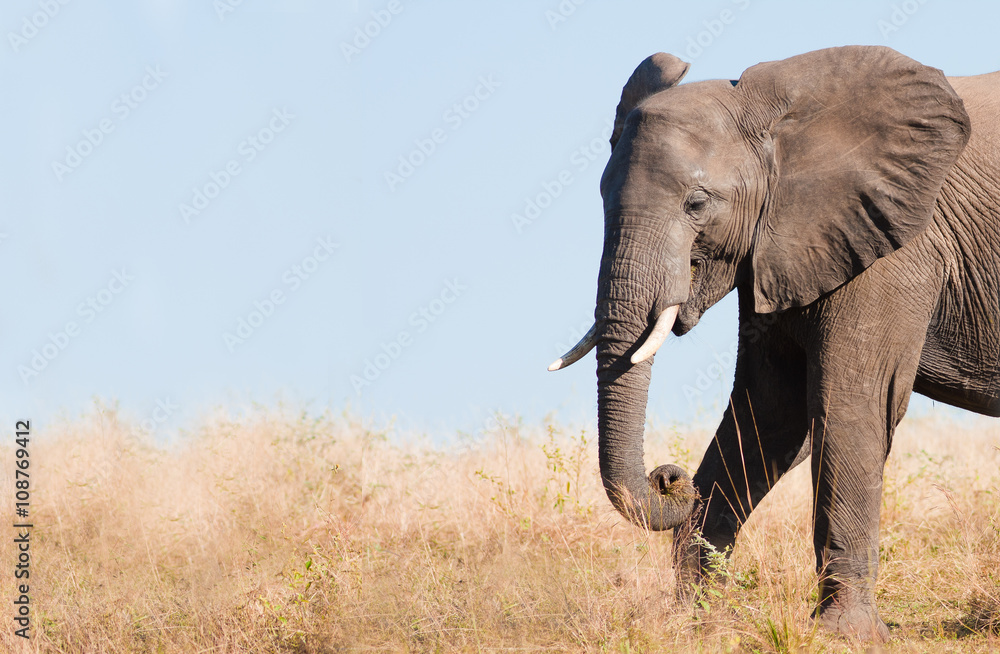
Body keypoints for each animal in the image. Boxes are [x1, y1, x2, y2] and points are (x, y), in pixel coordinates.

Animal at [548, 45, 999, 641]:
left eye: (697, 204)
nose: (668, 477)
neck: (780, 117)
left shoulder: (897, 244)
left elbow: (849, 405)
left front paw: (843, 636)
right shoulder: (785, 242)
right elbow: (769, 411)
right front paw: (697, 621)